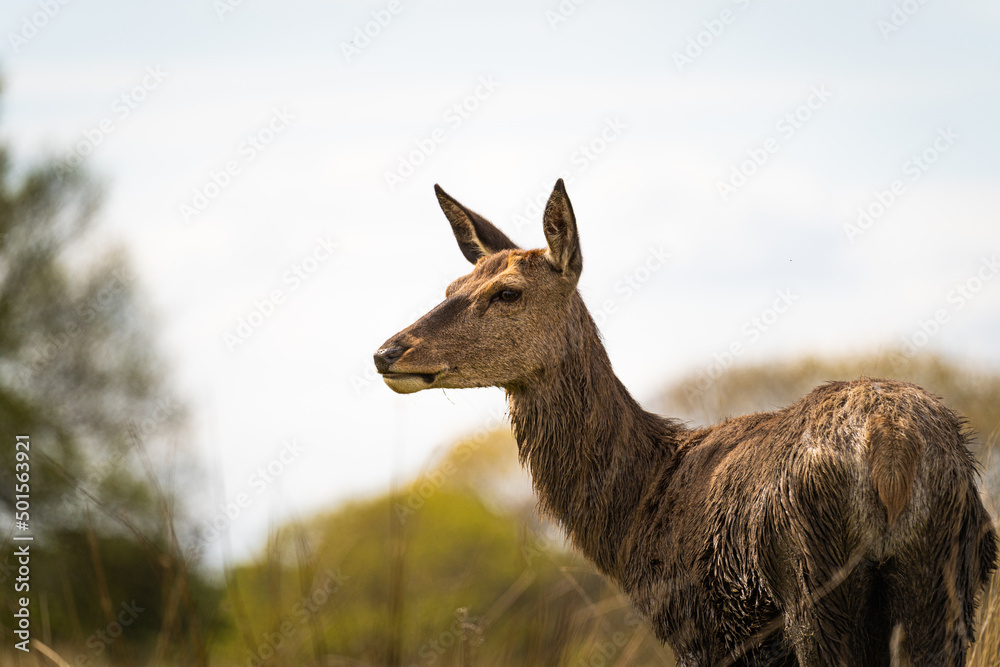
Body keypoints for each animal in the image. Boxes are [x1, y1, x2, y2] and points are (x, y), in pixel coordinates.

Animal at [373, 180, 998, 666]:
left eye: (508, 292)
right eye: (451, 287)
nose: (388, 352)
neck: (635, 509)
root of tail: (891, 448)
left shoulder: (699, 629)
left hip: (815, 585)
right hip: (945, 583)